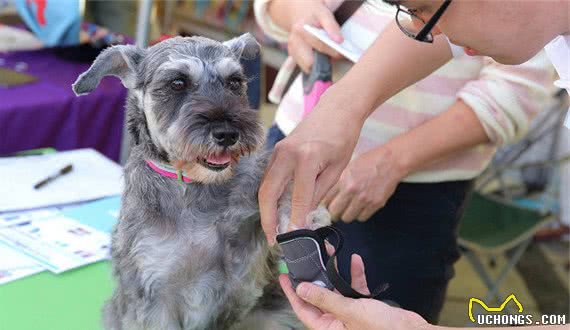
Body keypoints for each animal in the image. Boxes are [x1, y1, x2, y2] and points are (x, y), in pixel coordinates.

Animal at [72, 34, 320, 330]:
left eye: (234, 81)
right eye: (177, 83)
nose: (227, 133)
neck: (195, 184)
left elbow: (273, 192)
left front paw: (308, 214)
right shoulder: (155, 297)